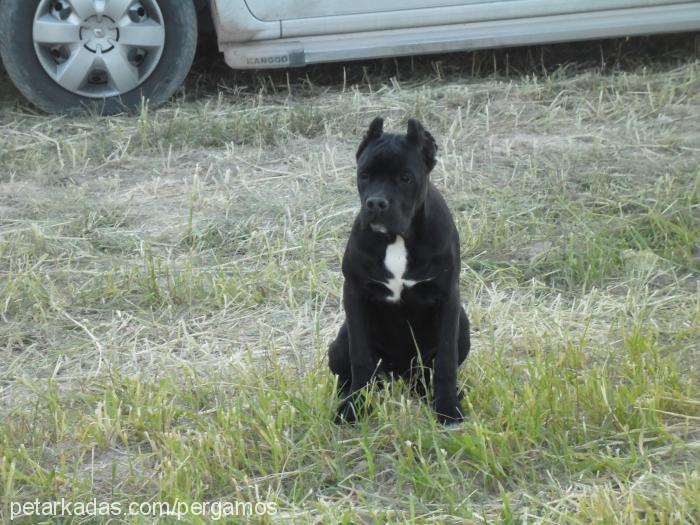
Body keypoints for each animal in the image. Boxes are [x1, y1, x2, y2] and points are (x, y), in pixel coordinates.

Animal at [328, 116, 470, 424]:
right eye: (364, 175)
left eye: (405, 178)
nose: (375, 203)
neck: (398, 238)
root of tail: (400, 377)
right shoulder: (354, 293)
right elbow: (360, 357)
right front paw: (354, 407)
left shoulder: (448, 297)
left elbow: (446, 362)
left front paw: (448, 408)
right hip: (340, 340)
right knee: (348, 373)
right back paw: (348, 396)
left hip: (462, 327)